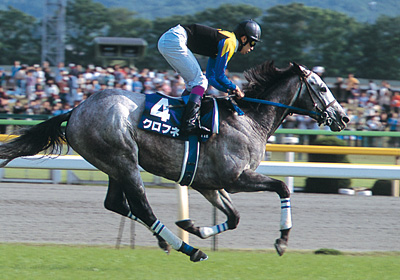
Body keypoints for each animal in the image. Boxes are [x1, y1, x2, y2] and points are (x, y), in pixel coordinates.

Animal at [0, 61, 348, 262]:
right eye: (322, 87)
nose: (343, 117)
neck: (249, 119)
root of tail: (76, 109)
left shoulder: (209, 184)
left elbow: (234, 217)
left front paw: (192, 225)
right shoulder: (236, 178)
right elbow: (282, 189)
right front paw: (282, 240)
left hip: (113, 164)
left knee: (116, 203)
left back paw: (167, 241)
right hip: (125, 159)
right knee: (141, 207)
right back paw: (187, 249)